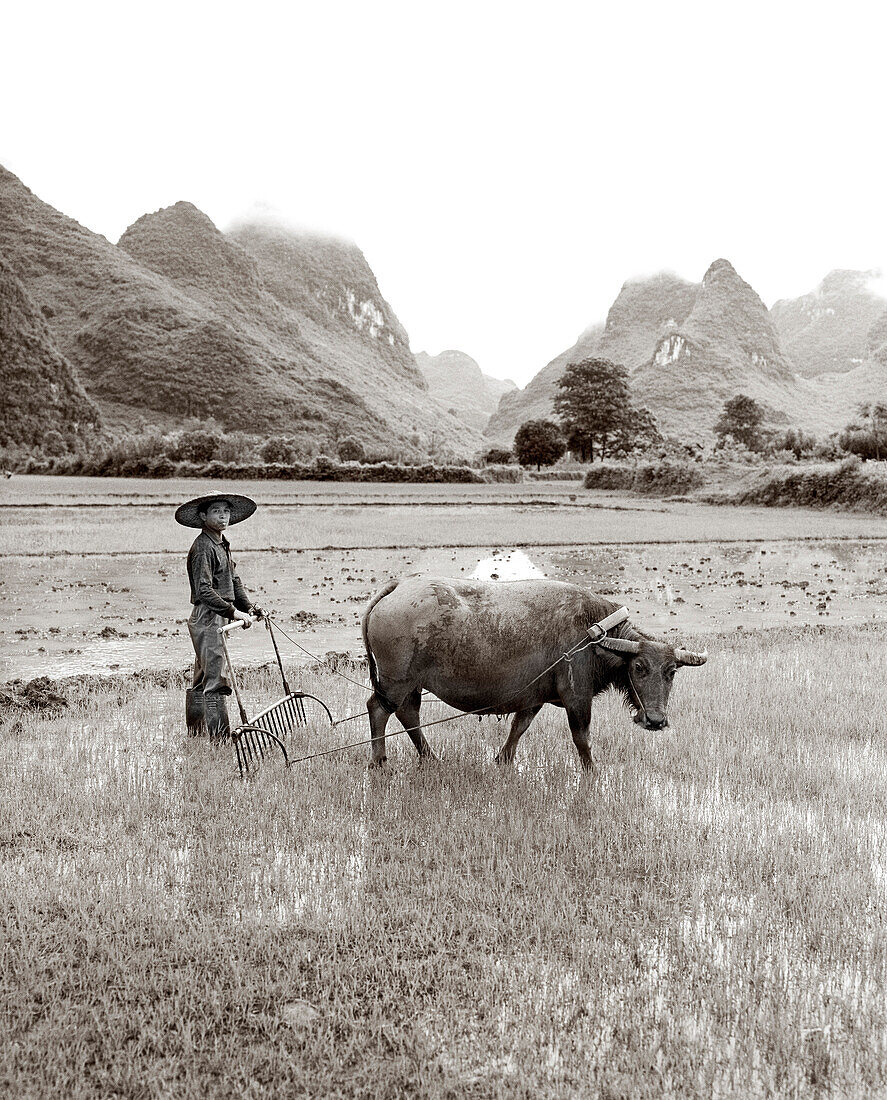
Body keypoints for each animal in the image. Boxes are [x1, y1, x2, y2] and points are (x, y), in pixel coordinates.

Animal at [360, 572, 708, 770]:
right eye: (639, 667)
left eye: (671, 671)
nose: (656, 720)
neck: (594, 634)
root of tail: (398, 587)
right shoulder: (577, 697)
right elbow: (582, 738)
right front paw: (593, 772)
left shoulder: (533, 697)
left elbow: (518, 728)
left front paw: (503, 760)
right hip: (396, 681)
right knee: (379, 709)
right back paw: (379, 761)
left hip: (412, 684)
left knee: (408, 714)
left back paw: (430, 757)